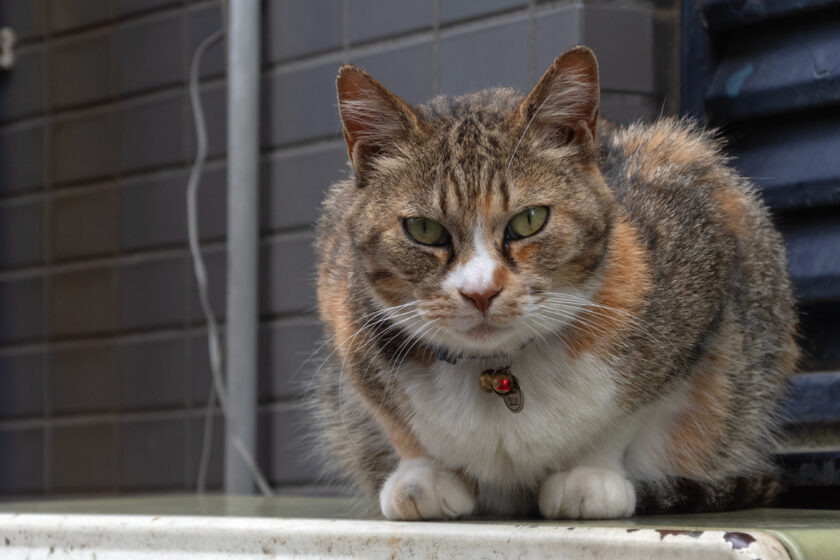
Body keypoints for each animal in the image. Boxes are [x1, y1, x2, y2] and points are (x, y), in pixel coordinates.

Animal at [310, 44, 800, 520]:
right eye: (424, 230)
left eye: (529, 220)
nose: (480, 292)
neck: (498, 369)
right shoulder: (344, 315)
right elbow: (396, 423)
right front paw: (424, 476)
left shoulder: (700, 252)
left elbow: (631, 413)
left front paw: (590, 475)